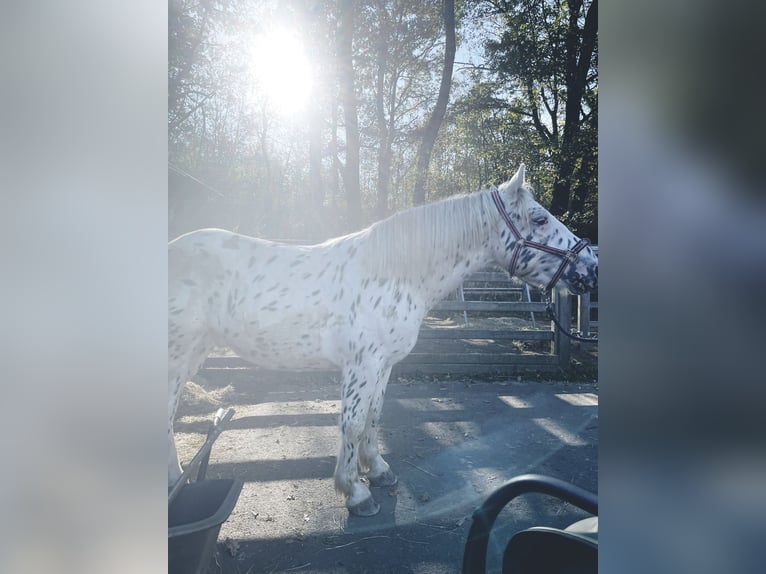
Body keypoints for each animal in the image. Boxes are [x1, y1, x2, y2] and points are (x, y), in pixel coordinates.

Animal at [170, 165, 600, 516]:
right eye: (539, 217)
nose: (590, 266)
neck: (393, 274)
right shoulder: (361, 365)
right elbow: (352, 423)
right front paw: (355, 493)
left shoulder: (384, 365)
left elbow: (374, 416)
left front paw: (377, 471)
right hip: (175, 358)